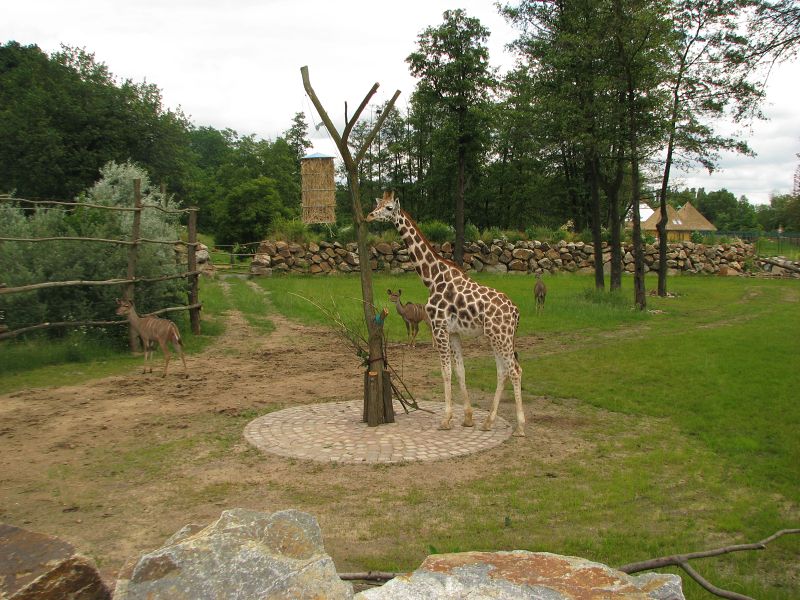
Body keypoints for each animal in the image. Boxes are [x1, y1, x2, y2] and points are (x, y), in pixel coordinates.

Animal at [367, 192, 526, 436]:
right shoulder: (453, 332)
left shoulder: (439, 328)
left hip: (501, 337)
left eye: (389, 207)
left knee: (515, 370)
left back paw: (520, 427)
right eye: (377, 204)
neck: (432, 278)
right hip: (496, 337)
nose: (369, 216)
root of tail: (516, 312)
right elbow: (460, 371)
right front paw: (468, 419)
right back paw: (488, 422)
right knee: (503, 371)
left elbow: (446, 372)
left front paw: (446, 419)